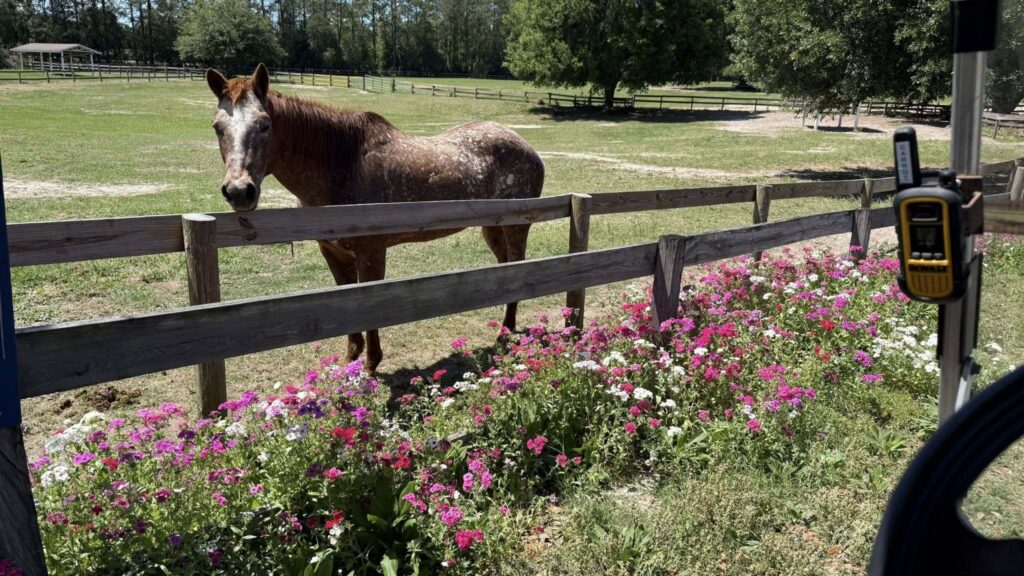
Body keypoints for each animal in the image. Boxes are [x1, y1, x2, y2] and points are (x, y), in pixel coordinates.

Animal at [205, 63, 545, 374]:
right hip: (492, 228)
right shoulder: (333, 252)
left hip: (516, 227)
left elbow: (369, 304)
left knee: (518, 266)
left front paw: (370, 364)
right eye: (217, 127)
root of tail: (526, 146)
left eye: (264, 124)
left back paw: (505, 331)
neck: (342, 165)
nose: (239, 191)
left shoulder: (370, 252)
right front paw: (350, 359)